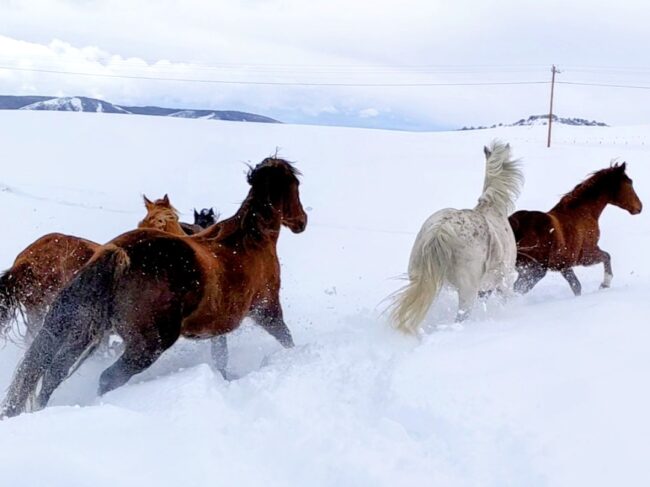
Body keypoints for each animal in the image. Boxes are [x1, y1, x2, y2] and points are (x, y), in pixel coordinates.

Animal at [389, 141, 524, 333]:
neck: (492, 207)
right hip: (468, 291)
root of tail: (440, 230)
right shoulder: (504, 281)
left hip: (423, 279)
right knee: (460, 317)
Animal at [509, 162, 642, 295]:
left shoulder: (564, 266)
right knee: (518, 289)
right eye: (630, 182)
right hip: (535, 271)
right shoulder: (587, 256)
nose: (640, 207)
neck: (582, 213)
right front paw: (604, 285)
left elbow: (576, 285)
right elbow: (607, 256)